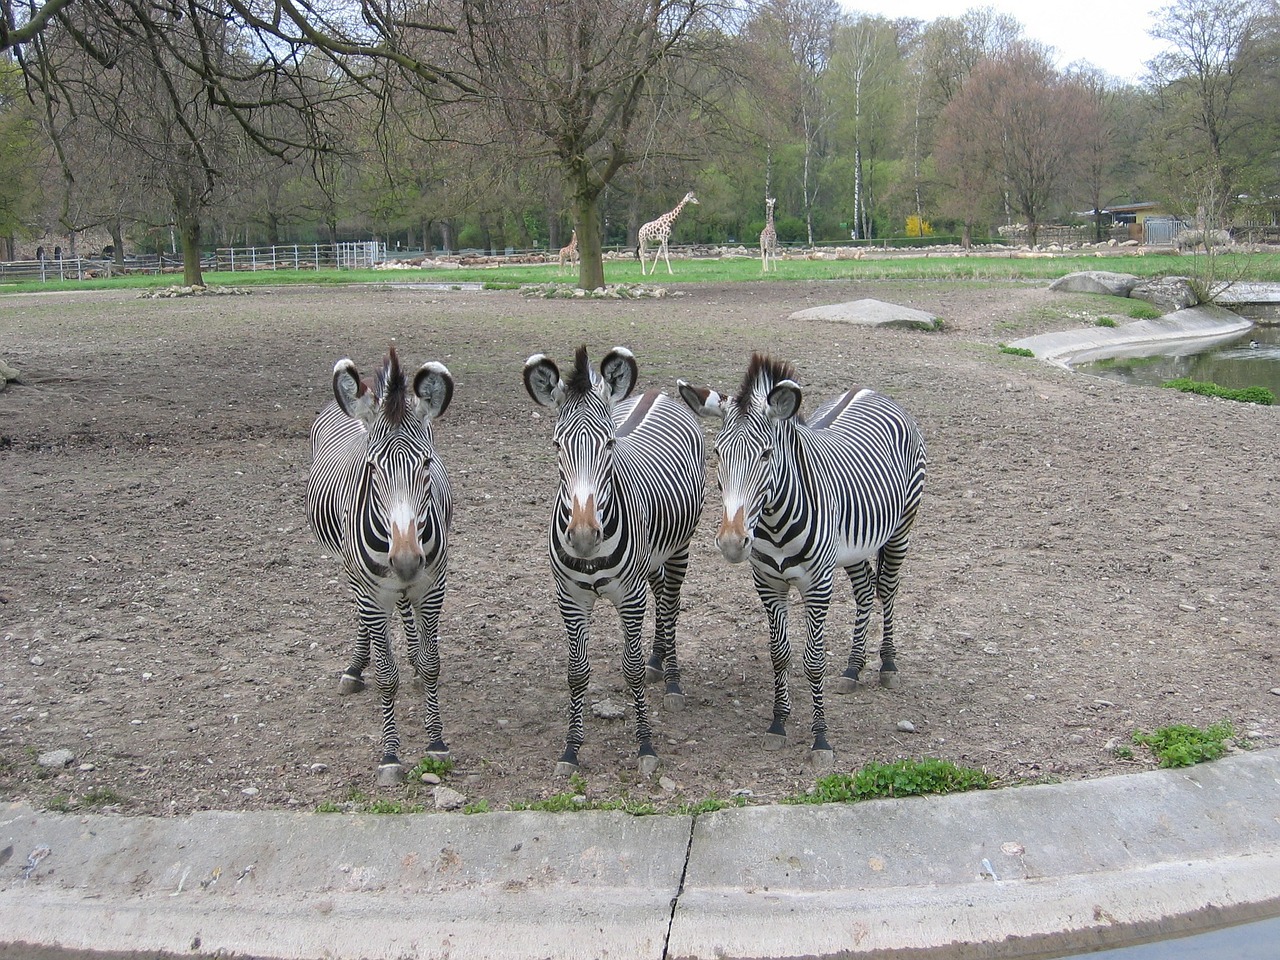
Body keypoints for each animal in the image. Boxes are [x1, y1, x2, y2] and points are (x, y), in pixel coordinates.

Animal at [304, 345, 455, 788]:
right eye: (371, 468)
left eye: (427, 465)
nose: (404, 559)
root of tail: (372, 388)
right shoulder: (371, 591)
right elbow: (387, 675)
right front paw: (390, 755)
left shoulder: (432, 585)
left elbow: (432, 664)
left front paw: (435, 742)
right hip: (353, 573)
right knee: (365, 617)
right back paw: (357, 666)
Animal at [522, 350, 711, 778]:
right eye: (556, 445)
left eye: (608, 443)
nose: (583, 535)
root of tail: (657, 393)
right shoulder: (570, 598)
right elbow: (577, 674)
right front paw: (571, 750)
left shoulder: (630, 597)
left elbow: (632, 667)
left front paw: (645, 745)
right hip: (653, 559)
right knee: (661, 596)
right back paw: (659, 659)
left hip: (680, 548)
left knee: (670, 605)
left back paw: (672, 681)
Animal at [680, 358, 931, 773]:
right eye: (716, 452)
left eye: (766, 454)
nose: (732, 543)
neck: (774, 521)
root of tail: (868, 390)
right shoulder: (768, 583)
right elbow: (779, 654)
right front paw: (778, 723)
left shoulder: (818, 584)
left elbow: (813, 661)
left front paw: (820, 738)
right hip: (853, 549)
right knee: (865, 592)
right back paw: (853, 668)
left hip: (901, 528)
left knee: (888, 590)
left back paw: (887, 666)